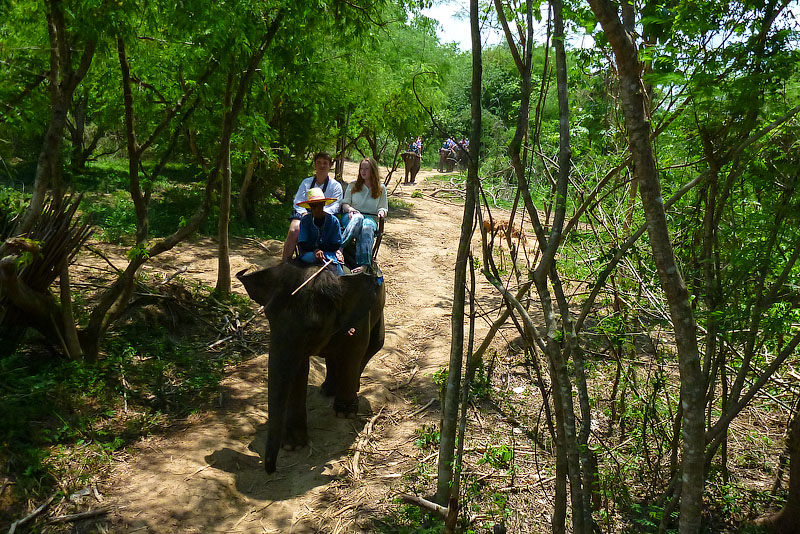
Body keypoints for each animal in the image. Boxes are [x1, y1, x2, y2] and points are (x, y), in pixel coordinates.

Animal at [236, 262, 386, 476]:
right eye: (268, 317)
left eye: (313, 328)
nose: (271, 469)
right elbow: (297, 370)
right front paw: (292, 445)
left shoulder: (359, 319)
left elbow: (354, 352)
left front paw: (345, 413)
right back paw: (328, 389)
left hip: (379, 310)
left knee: (374, 346)